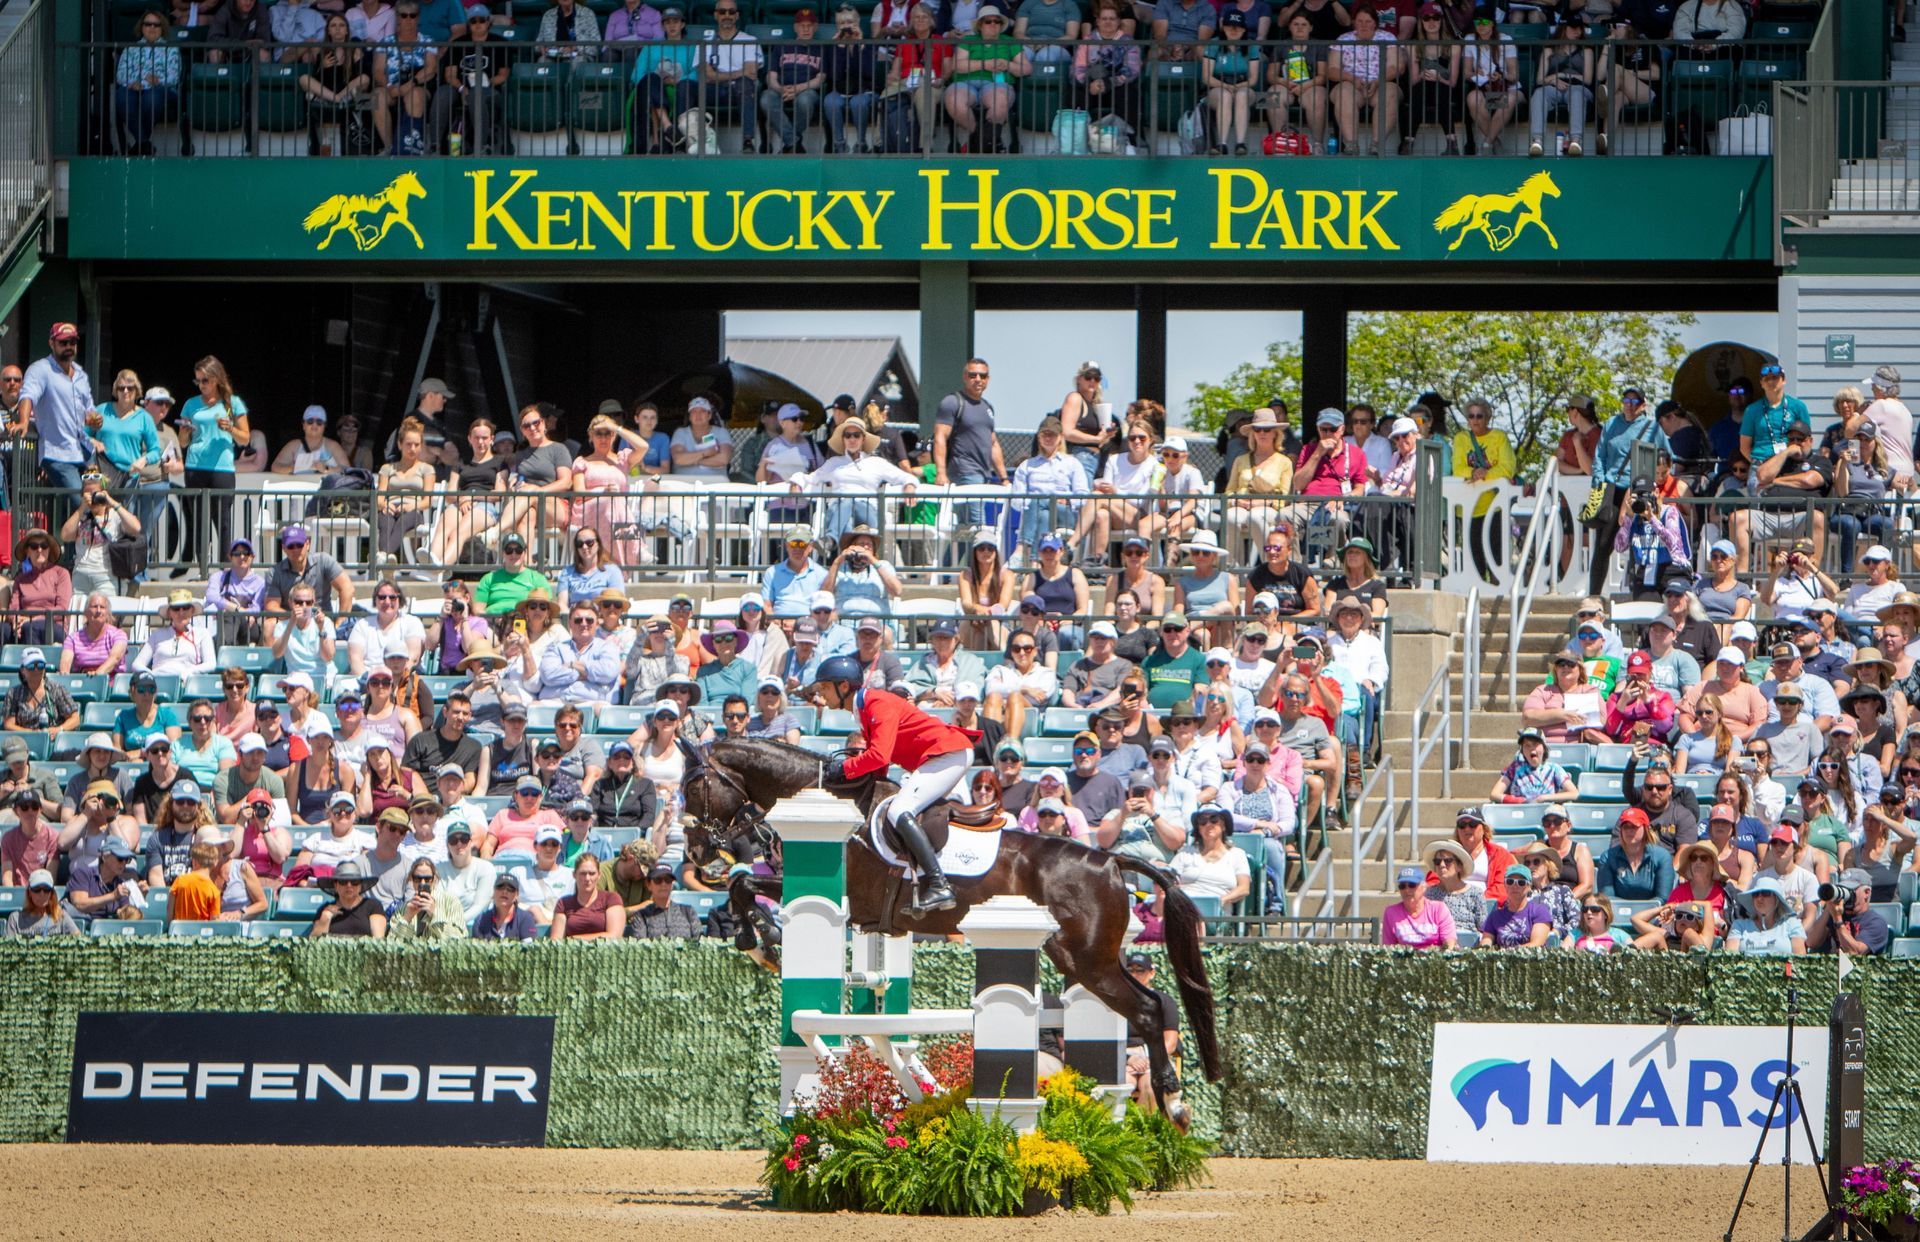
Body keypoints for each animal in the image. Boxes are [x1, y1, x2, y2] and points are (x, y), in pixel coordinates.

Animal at [682, 737, 1222, 1095]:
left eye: (692, 788)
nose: (696, 853)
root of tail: (1110, 862)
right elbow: (743, 884)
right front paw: (760, 939)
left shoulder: (848, 895)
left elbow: (745, 884)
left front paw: (761, 941)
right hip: (1093, 958)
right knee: (1145, 1003)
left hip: (1085, 959)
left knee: (1148, 1009)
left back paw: (1170, 1093)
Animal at [1431, 170, 1561, 253]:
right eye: (1548, 182)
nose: (1558, 193)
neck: (1528, 201)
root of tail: (1479, 199)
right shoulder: (1524, 220)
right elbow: (1518, 233)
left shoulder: (1531, 219)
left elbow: (1541, 228)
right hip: (1478, 220)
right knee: (1466, 228)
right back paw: (1454, 245)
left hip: (1485, 221)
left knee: (1483, 229)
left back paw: (1492, 244)